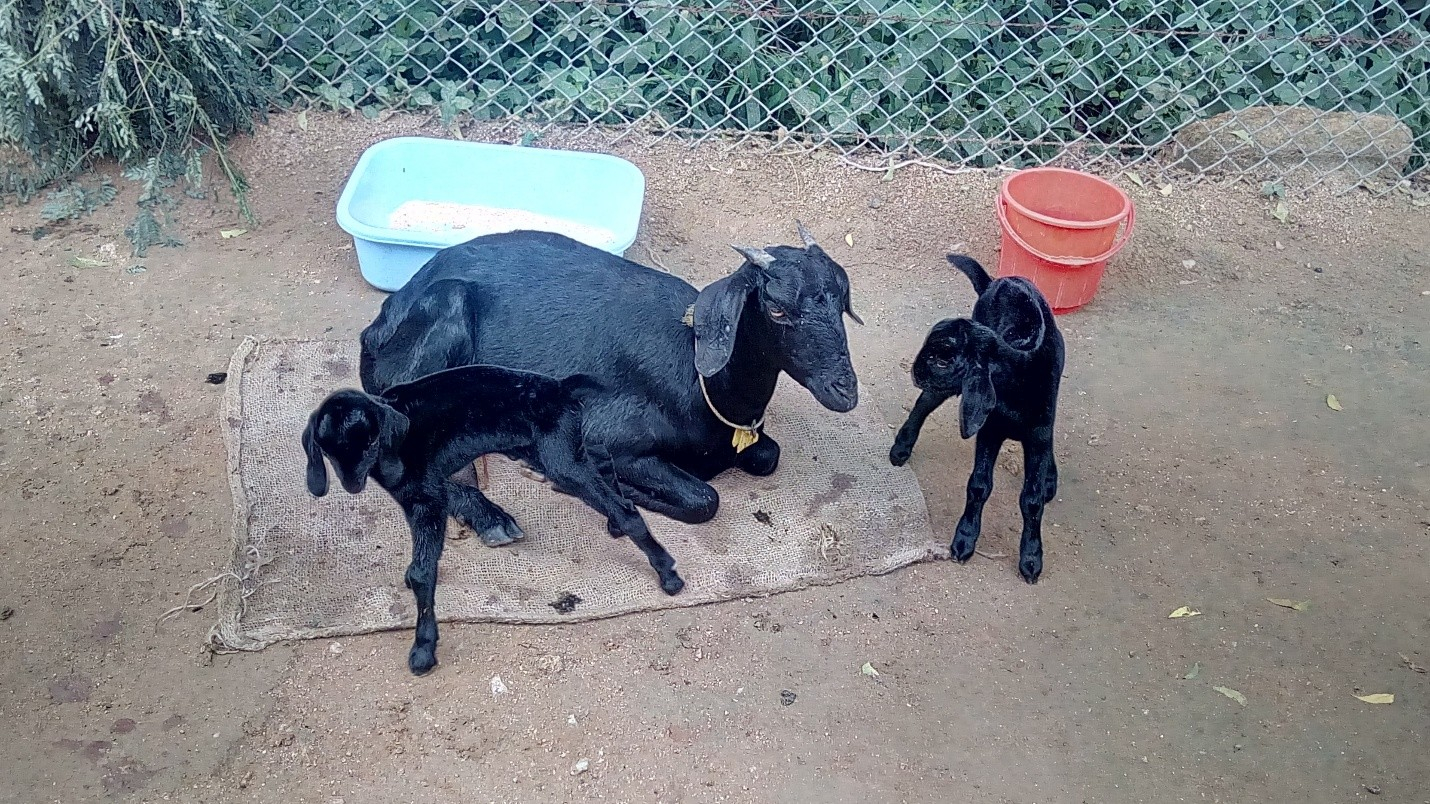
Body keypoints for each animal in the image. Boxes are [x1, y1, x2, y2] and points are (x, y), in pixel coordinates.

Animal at [301, 364, 683, 676]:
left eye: (371, 442)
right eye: (328, 450)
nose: (352, 484)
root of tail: (561, 388)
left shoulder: (427, 500)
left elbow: (424, 570)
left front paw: (423, 648)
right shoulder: (427, 491)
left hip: (558, 459)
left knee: (626, 508)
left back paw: (666, 571)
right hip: (550, 451)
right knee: (603, 462)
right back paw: (616, 524)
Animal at [357, 223, 863, 530]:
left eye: (842, 300)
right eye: (776, 309)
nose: (845, 390)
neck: (705, 385)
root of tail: (383, 316)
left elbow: (766, 456)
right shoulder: (608, 432)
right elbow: (705, 499)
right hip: (446, 311)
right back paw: (491, 516)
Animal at [888, 254, 1065, 584]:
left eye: (942, 359)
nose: (915, 370)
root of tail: (1001, 280)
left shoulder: (1039, 432)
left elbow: (1032, 499)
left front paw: (1031, 558)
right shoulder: (989, 429)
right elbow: (980, 485)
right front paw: (965, 539)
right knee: (924, 402)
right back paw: (901, 447)